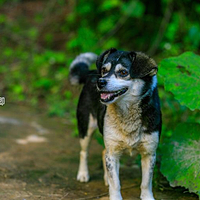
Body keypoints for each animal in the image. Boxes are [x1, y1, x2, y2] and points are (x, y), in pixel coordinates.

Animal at [69, 48, 161, 200]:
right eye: (104, 70)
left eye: (123, 72)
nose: (100, 82)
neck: (127, 112)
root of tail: (91, 73)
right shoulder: (112, 153)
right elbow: (116, 183)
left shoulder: (149, 153)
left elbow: (146, 182)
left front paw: (147, 197)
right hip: (85, 127)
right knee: (84, 152)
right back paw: (83, 174)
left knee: (103, 152)